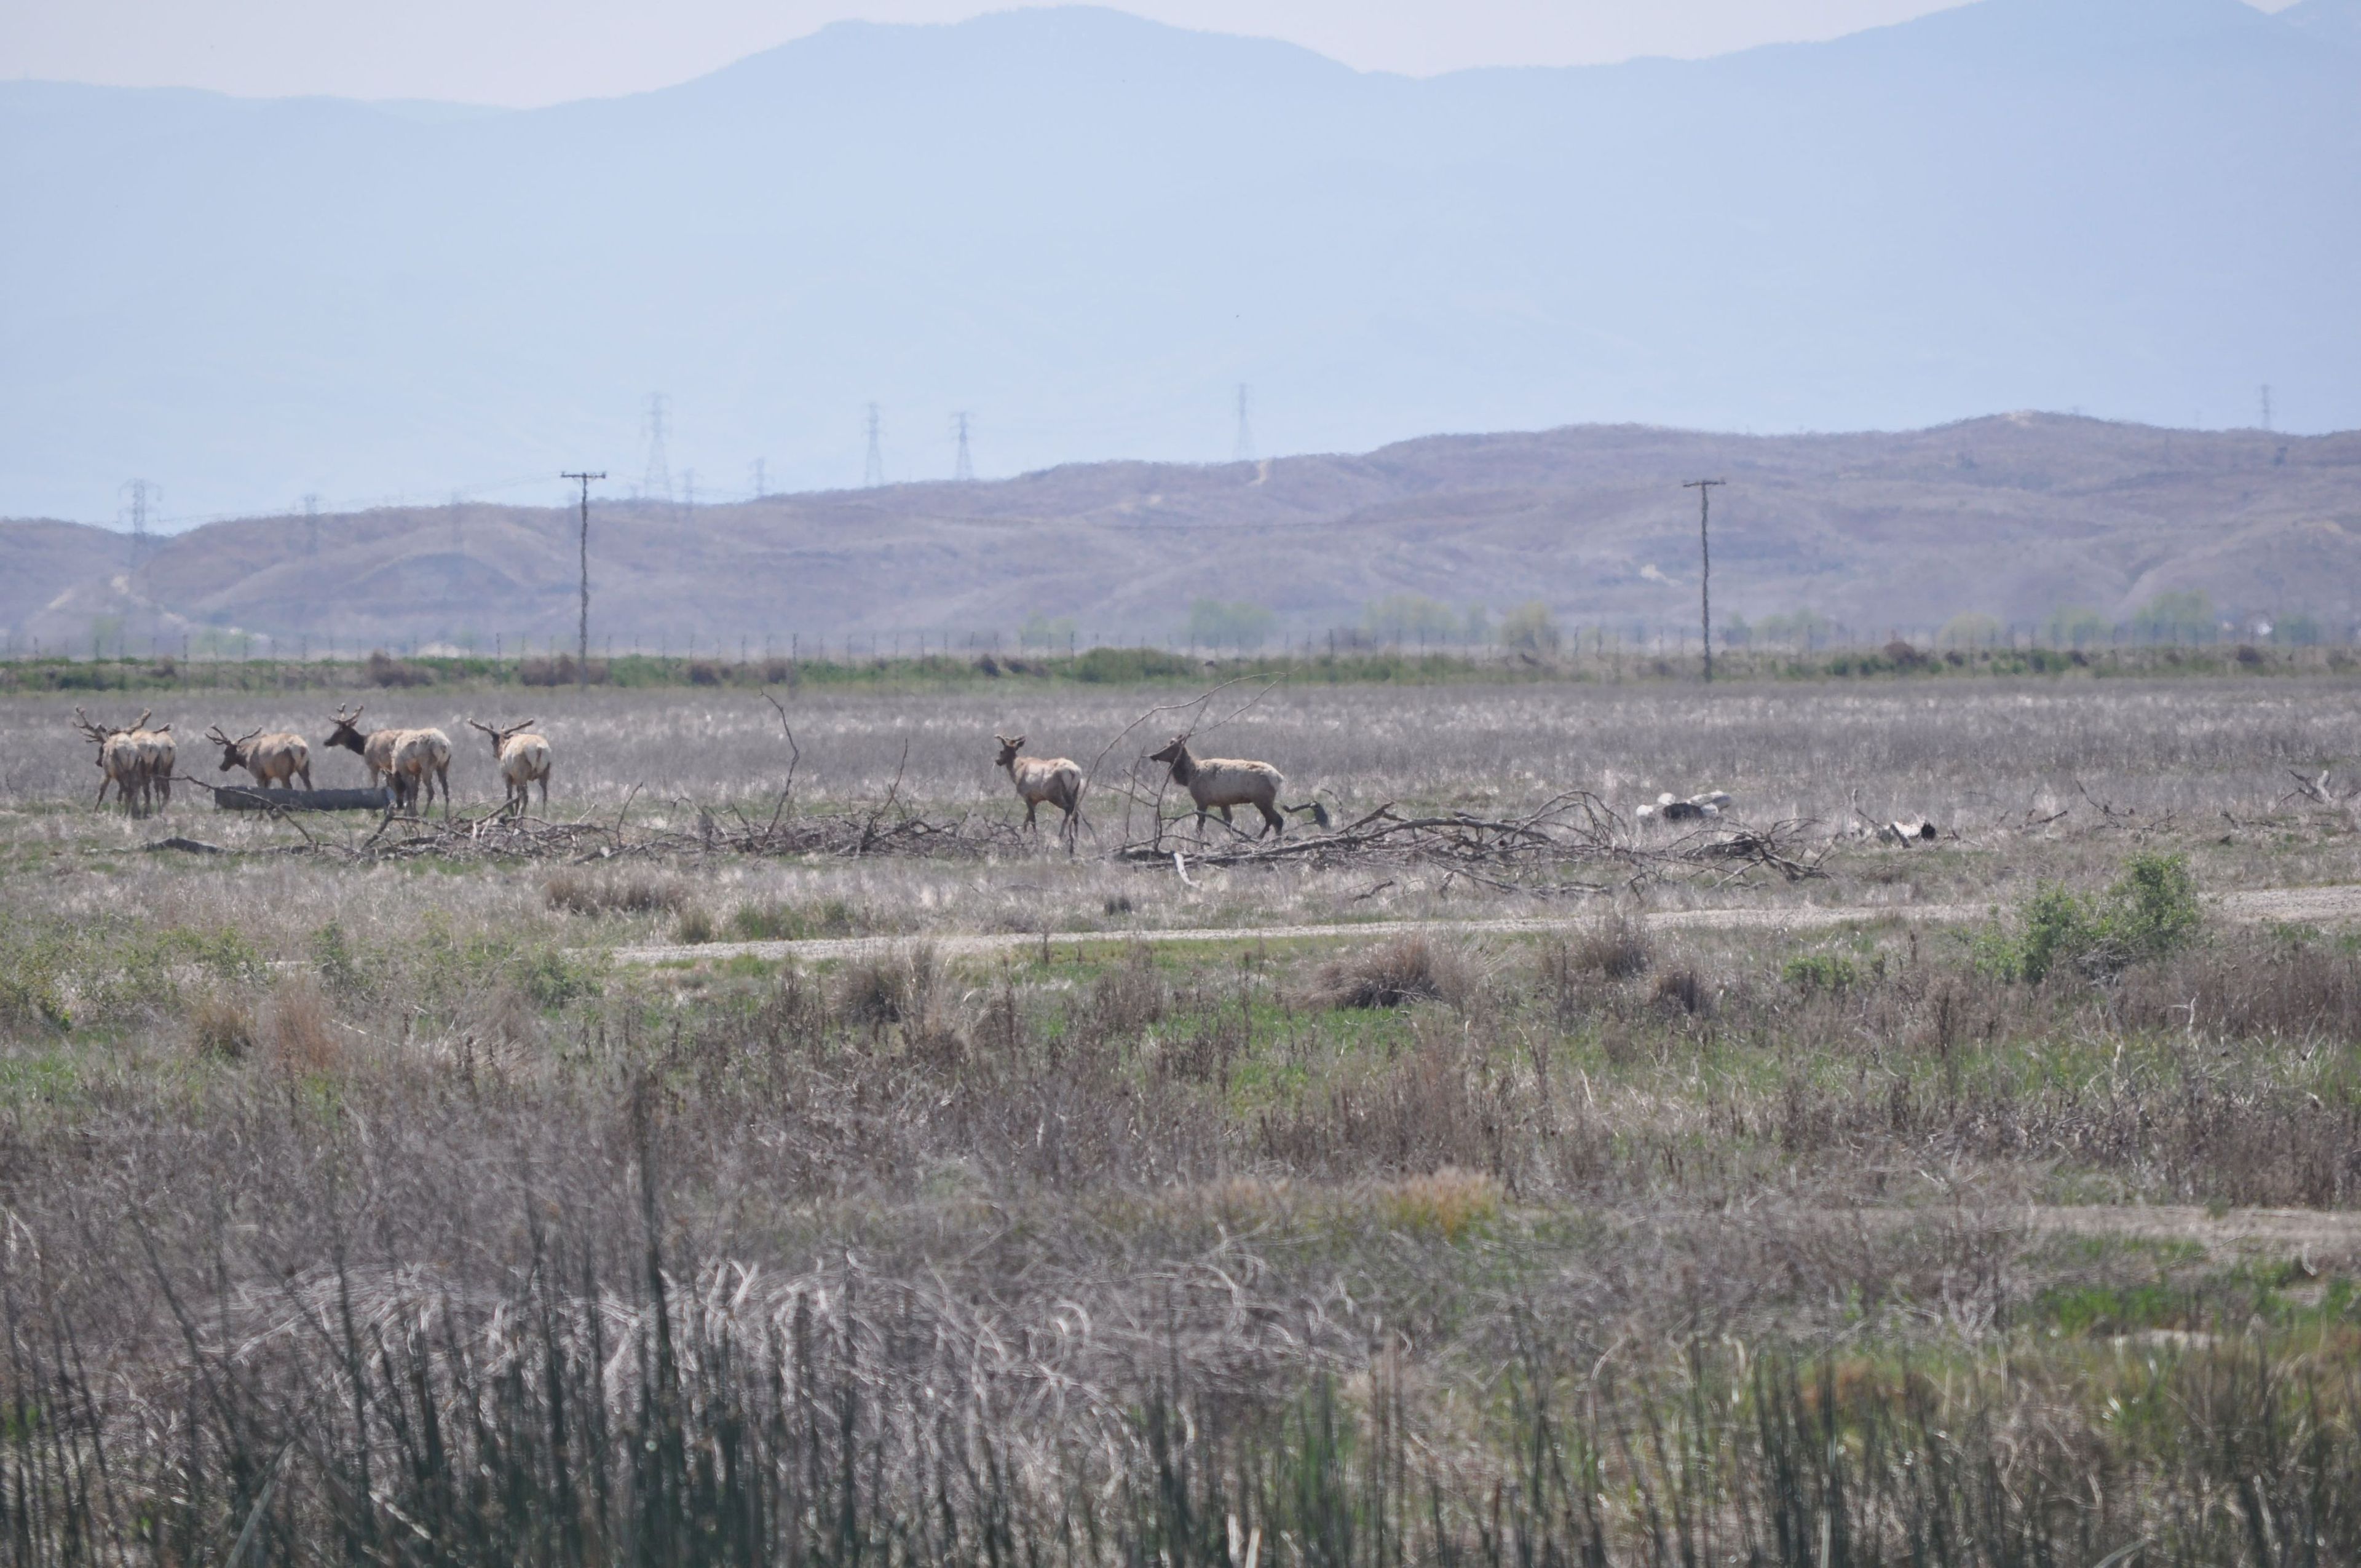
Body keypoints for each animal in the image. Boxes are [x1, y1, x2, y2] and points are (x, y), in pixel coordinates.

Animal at [205, 727, 314, 789]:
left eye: (226, 752)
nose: (221, 766)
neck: (246, 756)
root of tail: (301, 748)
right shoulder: (268, 776)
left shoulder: (258, 774)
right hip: (304, 767)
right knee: (309, 786)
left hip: (283, 771)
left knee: (289, 787)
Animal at [465, 717, 552, 821]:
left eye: (492, 741)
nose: (494, 754)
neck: (504, 746)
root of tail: (538, 748)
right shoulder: (516, 779)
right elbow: (517, 798)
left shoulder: (507, 775)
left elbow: (509, 799)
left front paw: (512, 815)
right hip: (545, 771)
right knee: (545, 795)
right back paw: (544, 816)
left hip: (522, 773)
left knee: (525, 797)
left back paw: (519, 818)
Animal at [991, 731, 1081, 845]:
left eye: (1001, 751)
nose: (998, 761)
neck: (1017, 769)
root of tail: (1073, 772)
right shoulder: (1035, 800)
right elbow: (1027, 817)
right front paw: (1024, 834)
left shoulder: (1026, 796)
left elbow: (1032, 819)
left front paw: (1034, 838)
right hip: (1074, 793)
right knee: (1076, 813)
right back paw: (1076, 838)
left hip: (1054, 795)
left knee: (1068, 808)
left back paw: (1061, 836)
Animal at [1147, 731, 1294, 831]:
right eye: (1166, 744)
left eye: (1171, 747)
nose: (1153, 755)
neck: (1190, 775)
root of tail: (1278, 778)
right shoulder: (1224, 802)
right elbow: (1228, 824)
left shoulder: (1201, 800)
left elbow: (1199, 827)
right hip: (1264, 800)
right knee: (1272, 821)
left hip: (1262, 799)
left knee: (1277, 820)